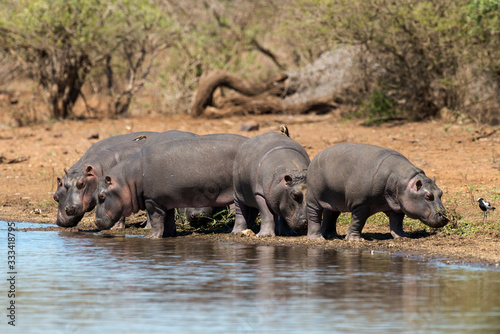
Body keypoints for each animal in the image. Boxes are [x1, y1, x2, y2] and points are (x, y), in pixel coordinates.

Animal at [94, 133, 248, 237]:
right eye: (95, 194)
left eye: (101, 196)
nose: (96, 222)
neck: (128, 179)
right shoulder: (165, 201)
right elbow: (168, 220)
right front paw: (168, 235)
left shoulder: (153, 201)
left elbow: (156, 220)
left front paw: (151, 237)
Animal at [306, 143, 448, 240]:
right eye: (428, 196)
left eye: (441, 192)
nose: (444, 217)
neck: (403, 182)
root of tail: (317, 155)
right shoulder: (361, 204)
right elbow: (358, 221)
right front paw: (355, 240)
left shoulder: (396, 205)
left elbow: (397, 222)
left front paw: (402, 236)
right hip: (314, 198)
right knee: (314, 215)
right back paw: (317, 238)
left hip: (334, 198)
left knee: (330, 214)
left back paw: (331, 236)